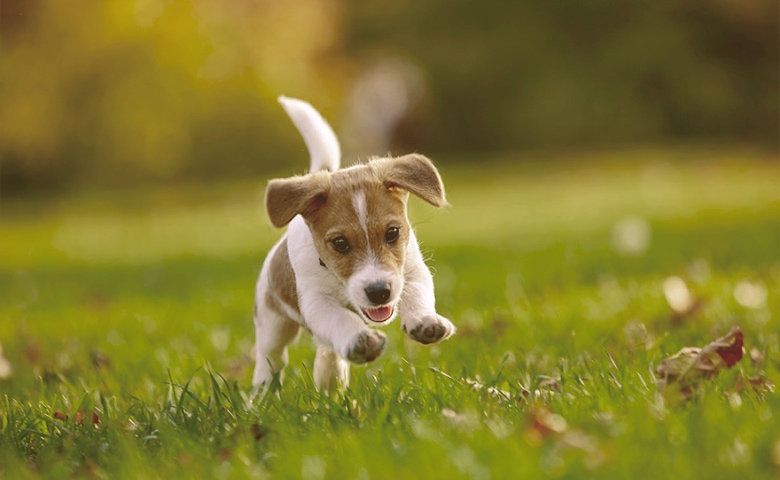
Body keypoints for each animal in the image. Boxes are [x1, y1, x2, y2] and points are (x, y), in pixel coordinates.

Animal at [253, 95, 454, 392]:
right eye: (340, 243)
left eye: (392, 233)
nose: (379, 292)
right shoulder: (315, 303)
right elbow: (340, 319)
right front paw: (360, 341)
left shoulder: (412, 271)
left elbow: (418, 294)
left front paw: (424, 320)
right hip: (272, 325)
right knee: (270, 359)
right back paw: (261, 395)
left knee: (328, 354)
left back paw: (330, 386)